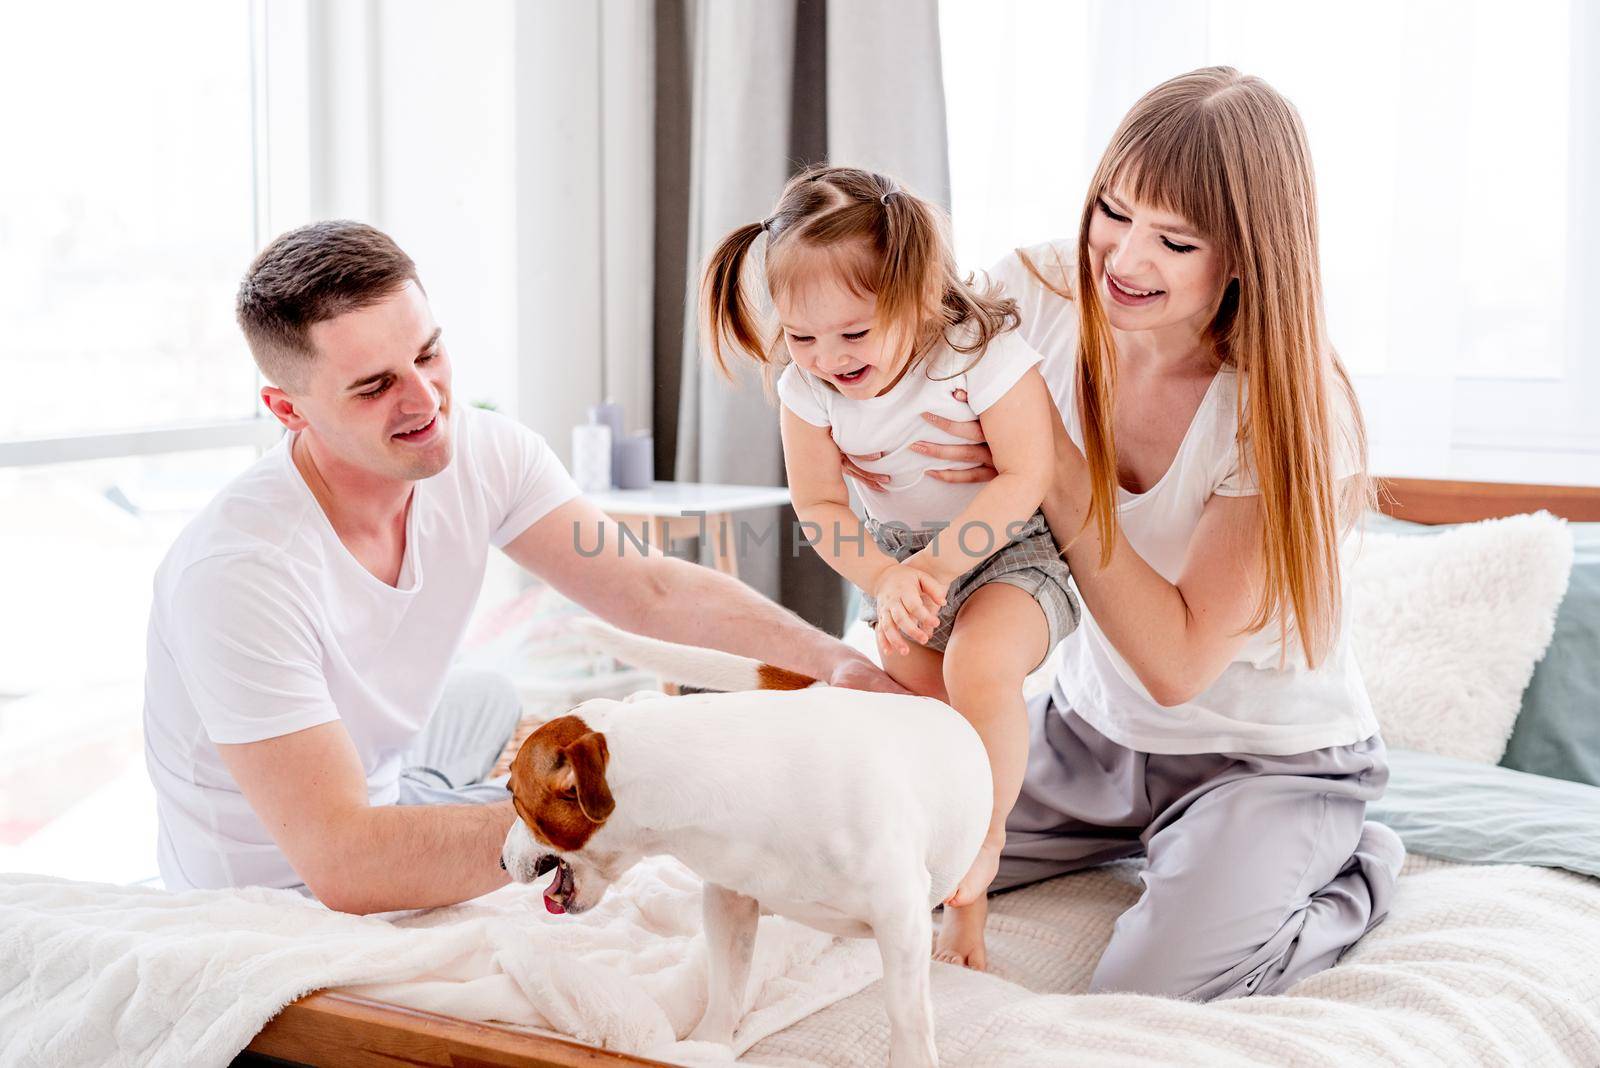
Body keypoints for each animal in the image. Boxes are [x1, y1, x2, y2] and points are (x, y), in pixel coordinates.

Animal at [499, 620, 985, 1061]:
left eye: (512, 794)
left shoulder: (901, 919)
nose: (502, 863)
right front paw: (706, 1045)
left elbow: (907, 1015)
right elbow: (727, 985)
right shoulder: (729, 899)